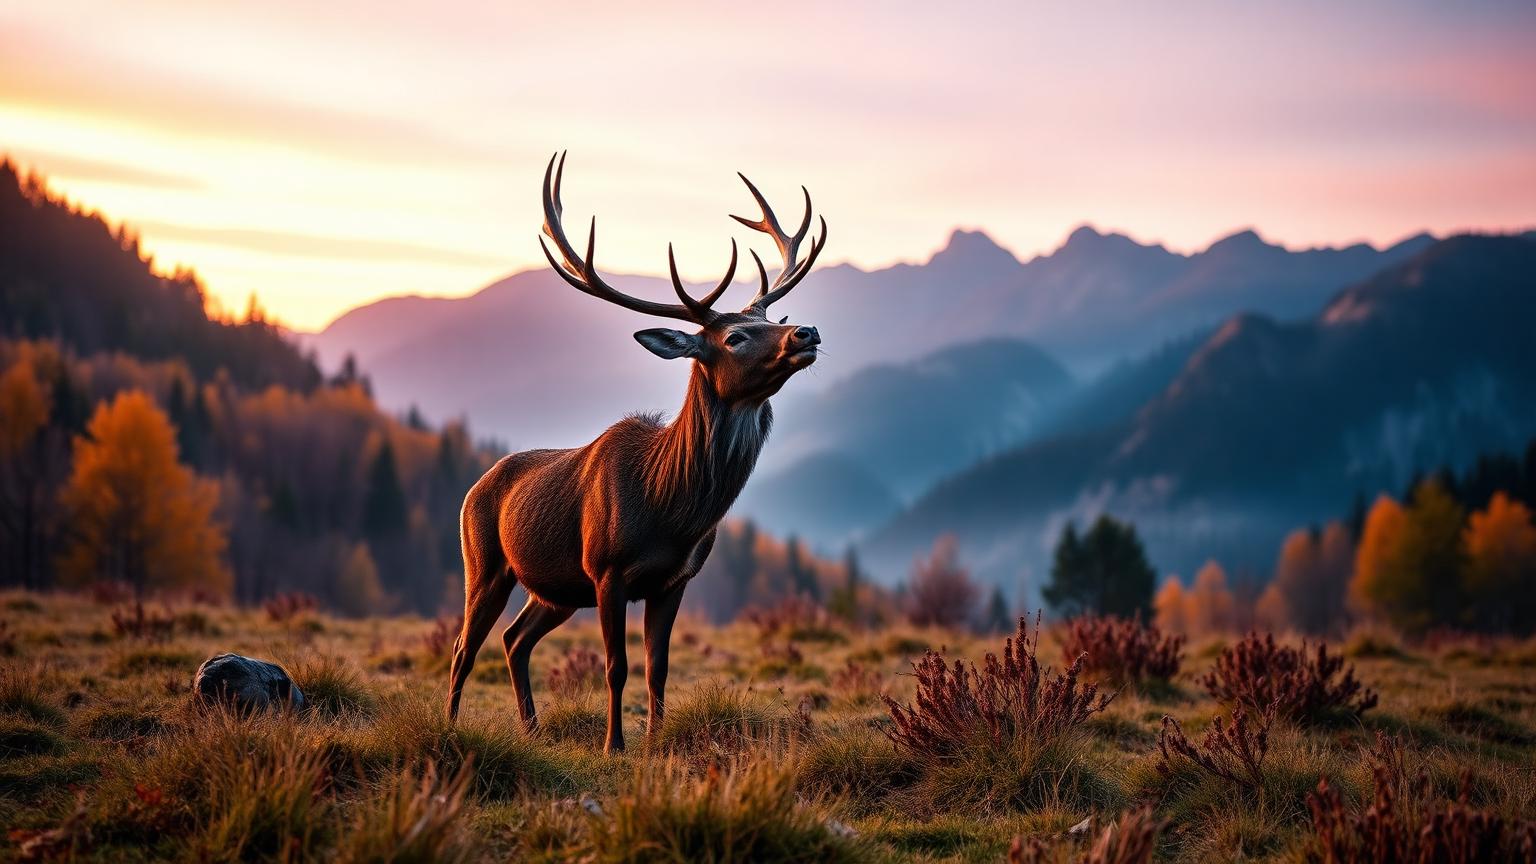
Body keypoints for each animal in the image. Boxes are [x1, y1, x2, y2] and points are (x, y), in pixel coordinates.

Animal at [446, 152, 827, 753]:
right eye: (735, 337)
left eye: (771, 321)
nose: (805, 332)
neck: (671, 510)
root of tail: (475, 486)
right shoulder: (607, 571)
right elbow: (616, 666)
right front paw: (614, 746)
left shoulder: (674, 580)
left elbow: (657, 668)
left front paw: (653, 743)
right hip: (484, 562)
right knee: (465, 646)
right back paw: (450, 725)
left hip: (555, 589)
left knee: (514, 639)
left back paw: (532, 729)